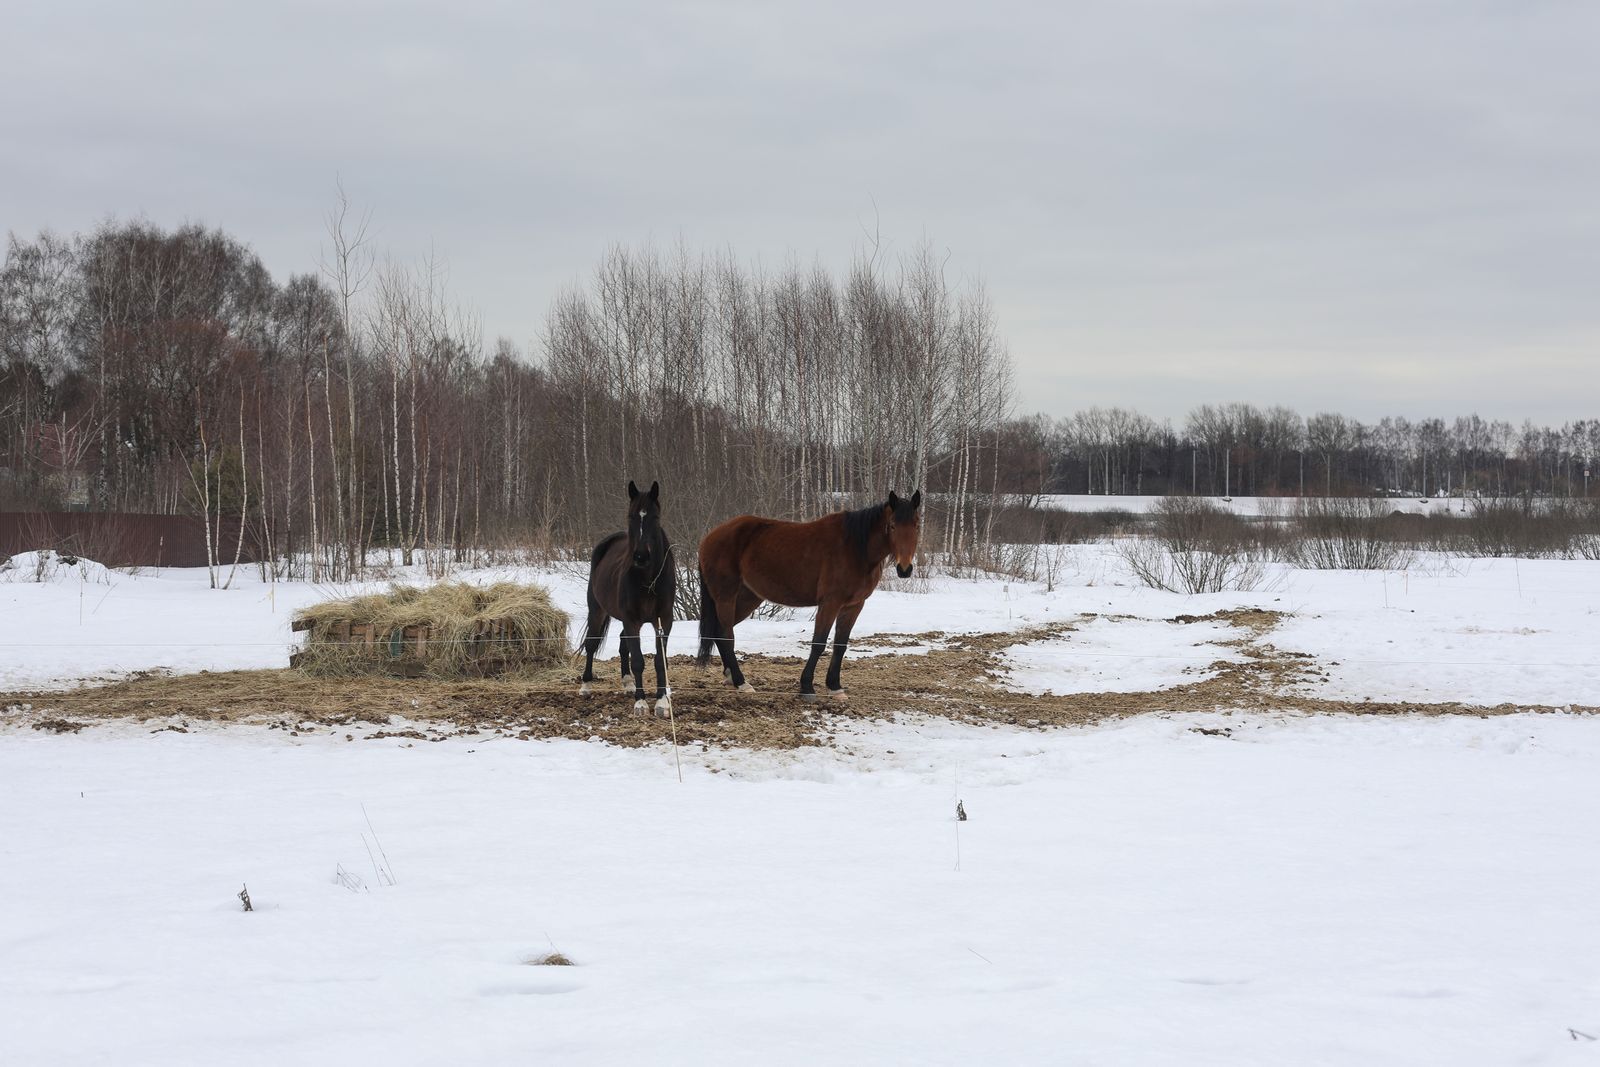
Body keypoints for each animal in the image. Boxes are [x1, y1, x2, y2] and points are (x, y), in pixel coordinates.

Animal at [582, 483, 675, 716]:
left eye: (655, 517)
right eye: (631, 516)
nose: (641, 557)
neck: (648, 579)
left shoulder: (663, 620)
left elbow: (660, 660)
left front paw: (661, 702)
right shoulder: (632, 620)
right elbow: (639, 660)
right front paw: (641, 703)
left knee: (623, 644)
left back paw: (628, 683)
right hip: (597, 610)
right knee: (591, 644)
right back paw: (586, 685)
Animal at [691, 489, 928, 700]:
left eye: (917, 526)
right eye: (893, 525)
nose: (904, 569)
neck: (855, 548)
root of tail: (709, 538)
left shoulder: (853, 605)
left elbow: (840, 645)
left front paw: (835, 687)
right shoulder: (830, 603)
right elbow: (819, 643)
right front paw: (806, 687)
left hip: (748, 598)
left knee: (720, 632)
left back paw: (731, 677)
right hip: (726, 596)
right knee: (726, 635)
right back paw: (742, 682)